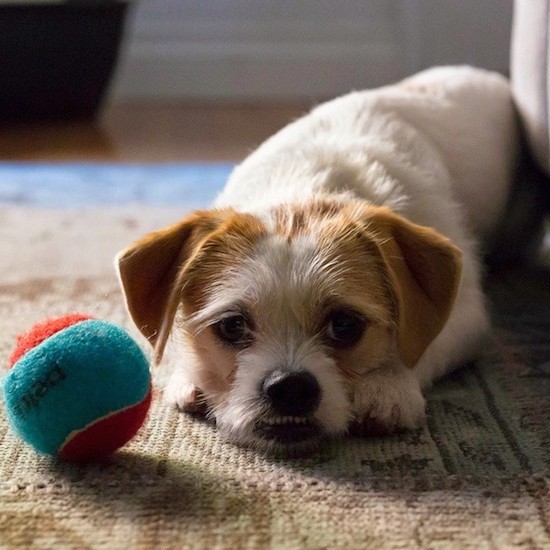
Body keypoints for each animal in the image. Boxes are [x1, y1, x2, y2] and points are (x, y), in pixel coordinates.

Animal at [116, 67, 520, 454]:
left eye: (345, 325)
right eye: (231, 326)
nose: (290, 387)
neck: (306, 189)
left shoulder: (466, 313)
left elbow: (418, 343)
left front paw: (387, 384)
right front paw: (190, 374)